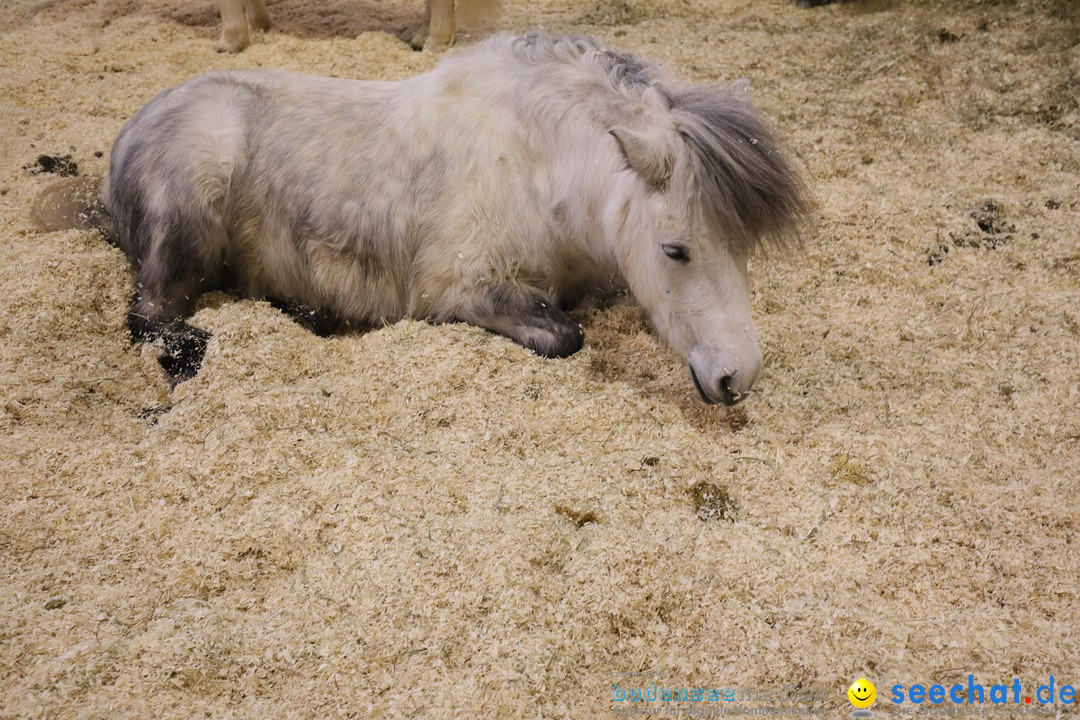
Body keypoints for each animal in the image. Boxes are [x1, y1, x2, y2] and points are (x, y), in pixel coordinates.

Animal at [46, 33, 807, 403]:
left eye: (742, 249)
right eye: (676, 249)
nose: (737, 377)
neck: (537, 162)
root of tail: (129, 134)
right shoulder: (462, 287)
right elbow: (566, 335)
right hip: (188, 215)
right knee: (150, 317)